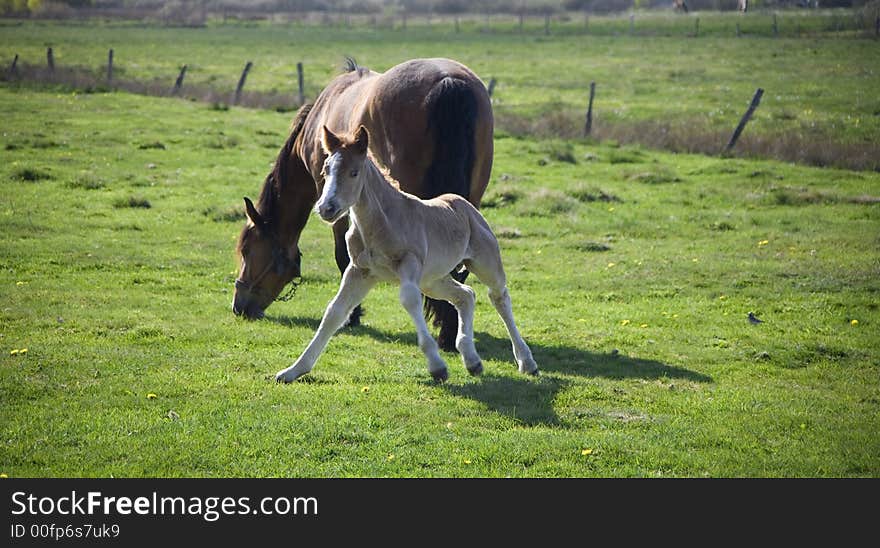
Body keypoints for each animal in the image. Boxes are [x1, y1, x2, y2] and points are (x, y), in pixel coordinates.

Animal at [234, 56, 496, 352]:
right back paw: (449, 331)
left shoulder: (336, 201)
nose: (239, 306)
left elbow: (343, 255)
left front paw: (352, 315)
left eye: (246, 251)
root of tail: (447, 80)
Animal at [276, 124, 536, 384]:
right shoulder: (359, 271)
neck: (379, 224)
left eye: (354, 173)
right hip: (433, 280)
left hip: (483, 263)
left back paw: (527, 362)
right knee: (466, 295)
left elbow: (409, 300)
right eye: (326, 169)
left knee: (499, 296)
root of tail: (467, 206)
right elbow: (334, 312)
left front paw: (437, 367)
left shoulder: (409, 265)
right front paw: (293, 370)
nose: (326, 208)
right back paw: (472, 361)